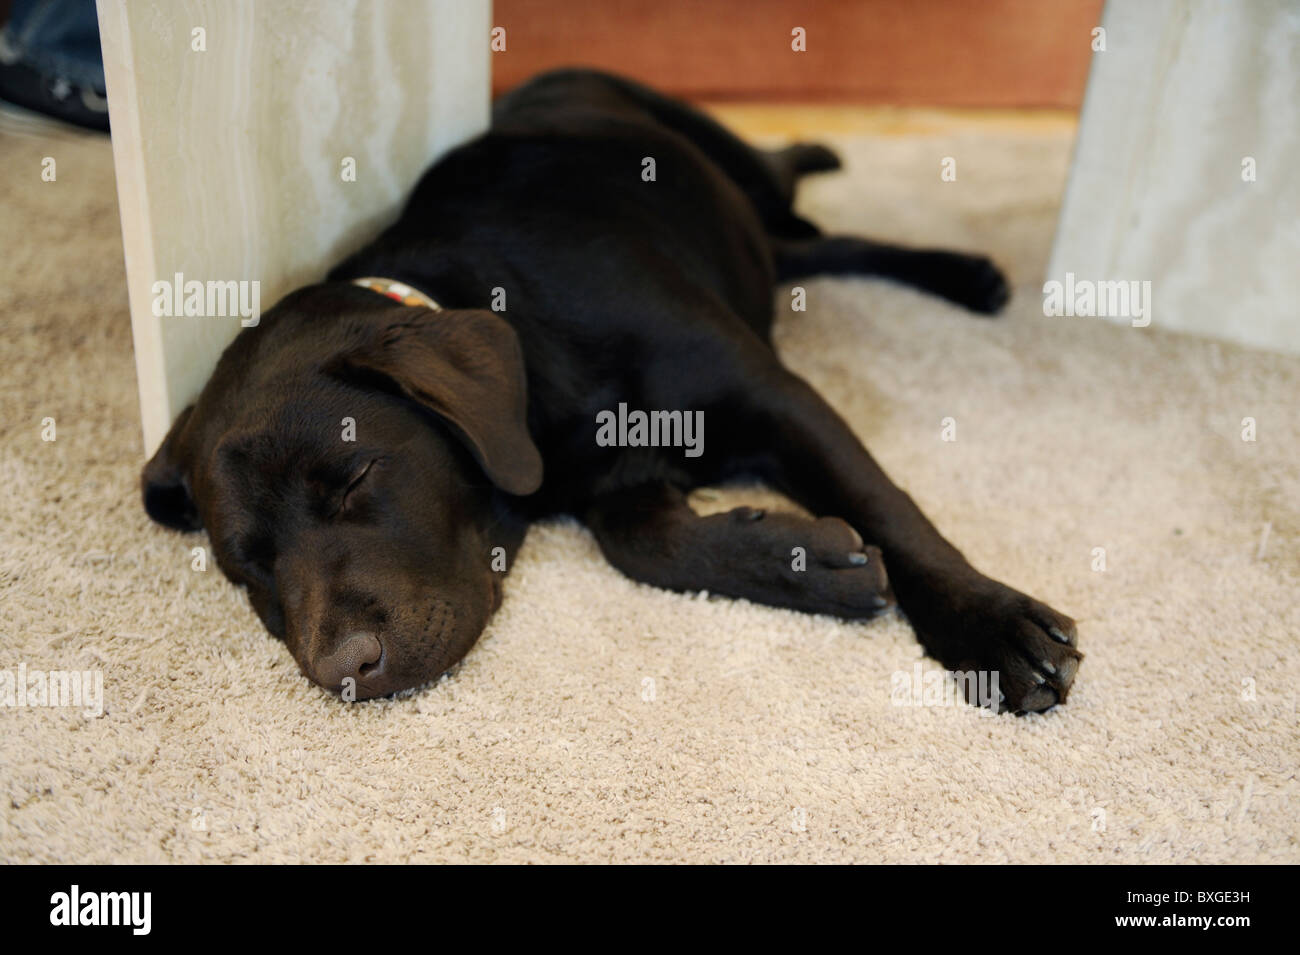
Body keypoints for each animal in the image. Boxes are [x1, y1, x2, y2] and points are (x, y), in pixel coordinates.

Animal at [139, 69, 1086, 712]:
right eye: (247, 568)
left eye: (356, 479)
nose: (343, 671)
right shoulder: (618, 482)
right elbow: (649, 544)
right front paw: (800, 553)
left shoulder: (775, 395)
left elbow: (892, 510)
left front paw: (990, 625)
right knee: (808, 250)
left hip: (731, 162)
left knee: (799, 198)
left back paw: (934, 247)